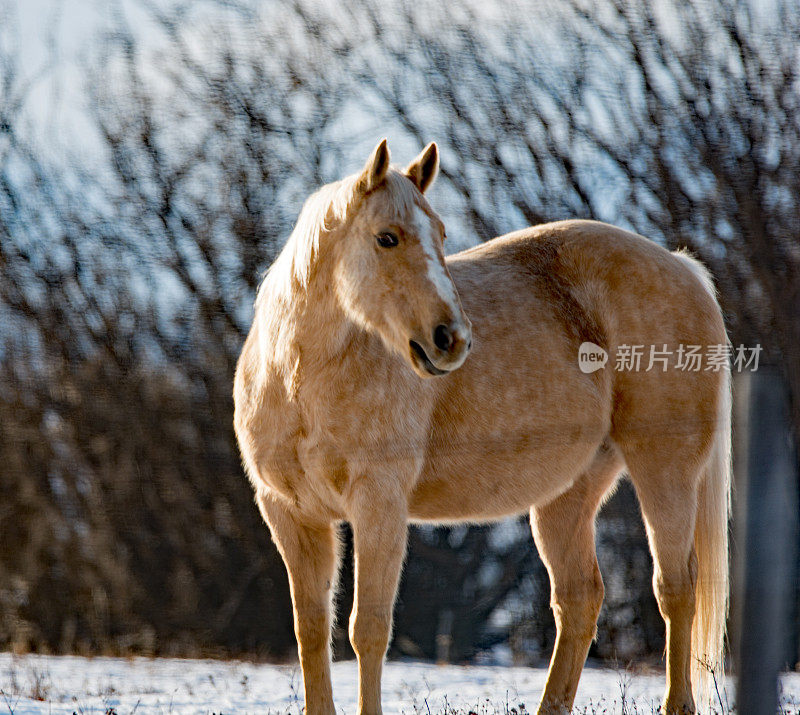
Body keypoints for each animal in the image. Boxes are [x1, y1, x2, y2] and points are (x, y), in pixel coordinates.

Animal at [233, 140, 732, 715]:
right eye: (387, 237)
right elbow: (312, 631)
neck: (298, 377)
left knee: (676, 588)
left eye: (441, 234)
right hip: (569, 493)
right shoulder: (291, 514)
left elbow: (368, 630)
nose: (450, 338)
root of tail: (680, 266)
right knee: (580, 599)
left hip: (664, 470)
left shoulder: (379, 506)